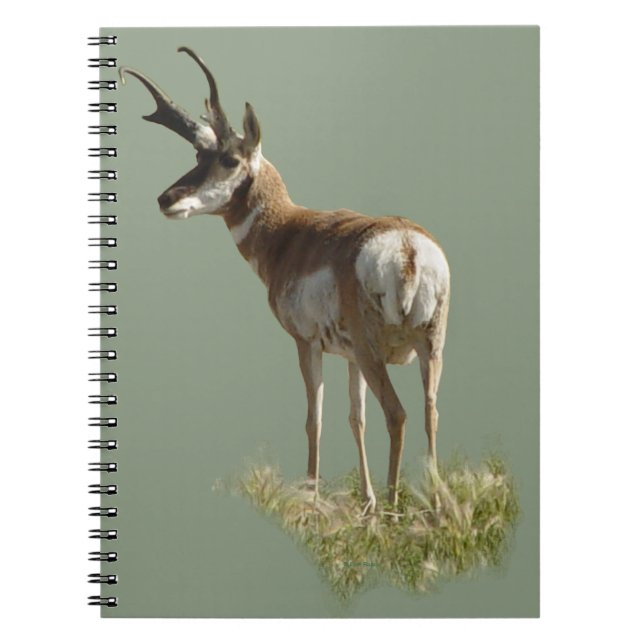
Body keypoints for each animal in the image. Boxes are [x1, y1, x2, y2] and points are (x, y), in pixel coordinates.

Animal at [120, 48, 450, 511]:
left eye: (228, 159)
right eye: (199, 157)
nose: (165, 199)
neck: (289, 231)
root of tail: (406, 247)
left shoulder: (306, 343)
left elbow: (315, 419)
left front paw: (311, 497)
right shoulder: (349, 358)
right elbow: (356, 418)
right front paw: (364, 502)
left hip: (376, 352)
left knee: (397, 414)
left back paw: (394, 504)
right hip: (429, 347)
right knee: (430, 413)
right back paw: (433, 507)